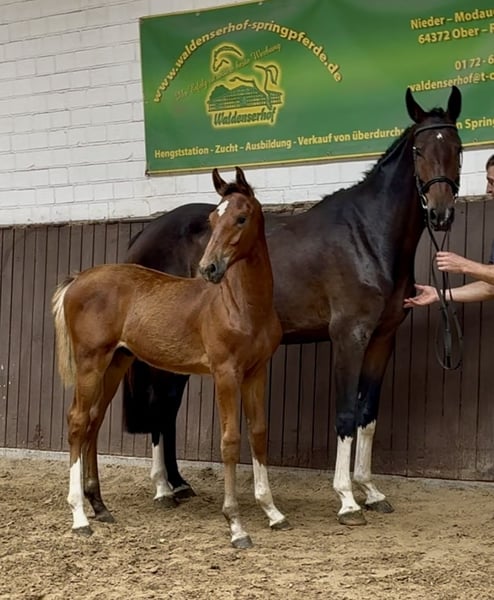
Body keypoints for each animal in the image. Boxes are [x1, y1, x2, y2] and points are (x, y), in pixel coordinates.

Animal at [52, 167, 290, 548]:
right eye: (212, 219)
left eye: (241, 217)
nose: (209, 268)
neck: (241, 306)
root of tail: (78, 280)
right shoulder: (225, 373)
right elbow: (230, 441)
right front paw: (236, 525)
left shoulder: (256, 372)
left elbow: (259, 433)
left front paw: (272, 512)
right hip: (90, 362)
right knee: (77, 421)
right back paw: (79, 517)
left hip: (116, 362)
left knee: (93, 420)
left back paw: (100, 506)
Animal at [123, 86, 463, 525]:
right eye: (419, 150)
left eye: (456, 147)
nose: (440, 213)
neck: (367, 237)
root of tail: (143, 235)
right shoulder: (349, 337)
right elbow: (346, 415)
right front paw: (347, 500)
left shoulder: (382, 339)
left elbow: (367, 415)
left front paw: (371, 491)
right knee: (161, 405)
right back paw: (164, 488)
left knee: (166, 407)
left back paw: (178, 485)